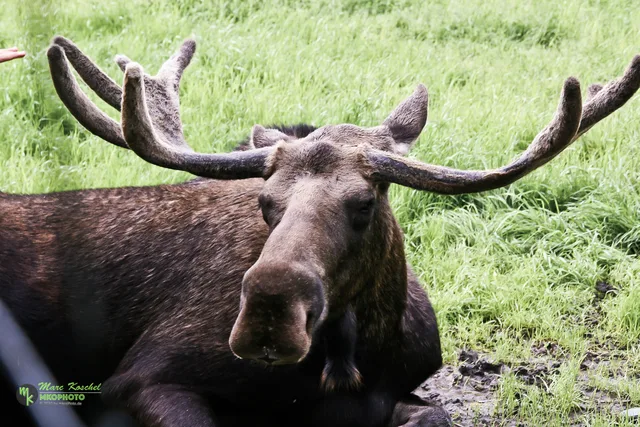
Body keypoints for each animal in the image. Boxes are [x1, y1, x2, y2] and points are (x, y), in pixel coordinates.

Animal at [1, 35, 638, 427]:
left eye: (363, 202)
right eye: (265, 202)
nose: (269, 310)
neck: (350, 363)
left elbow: (435, 412)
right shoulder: (136, 380)